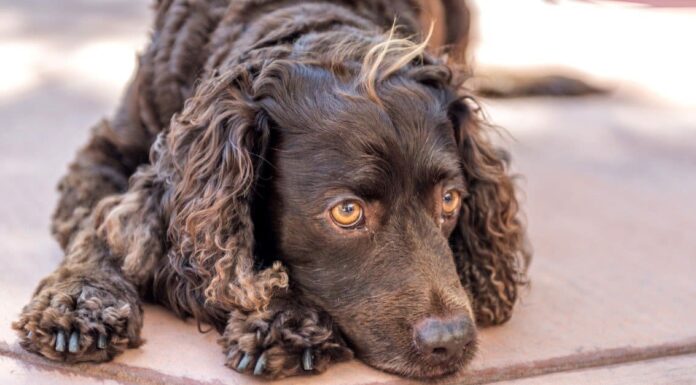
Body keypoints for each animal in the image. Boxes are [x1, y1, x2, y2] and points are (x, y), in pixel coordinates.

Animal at [12, 0, 528, 378]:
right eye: (346, 212)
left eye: (450, 200)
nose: (452, 341)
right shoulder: (105, 155)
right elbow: (100, 226)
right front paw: (79, 302)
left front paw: (285, 318)